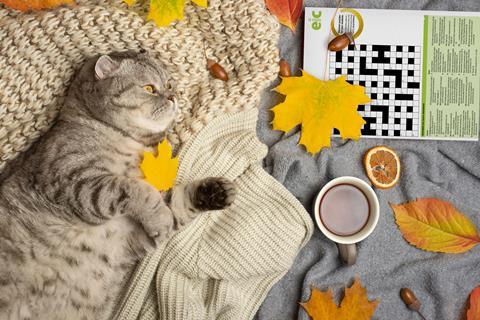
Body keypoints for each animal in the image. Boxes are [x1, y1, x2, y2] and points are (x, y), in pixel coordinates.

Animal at [0, 51, 234, 318]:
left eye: (170, 85)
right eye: (149, 88)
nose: (173, 96)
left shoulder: (134, 233)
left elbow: (177, 201)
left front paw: (215, 192)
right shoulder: (74, 180)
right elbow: (136, 191)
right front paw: (158, 215)